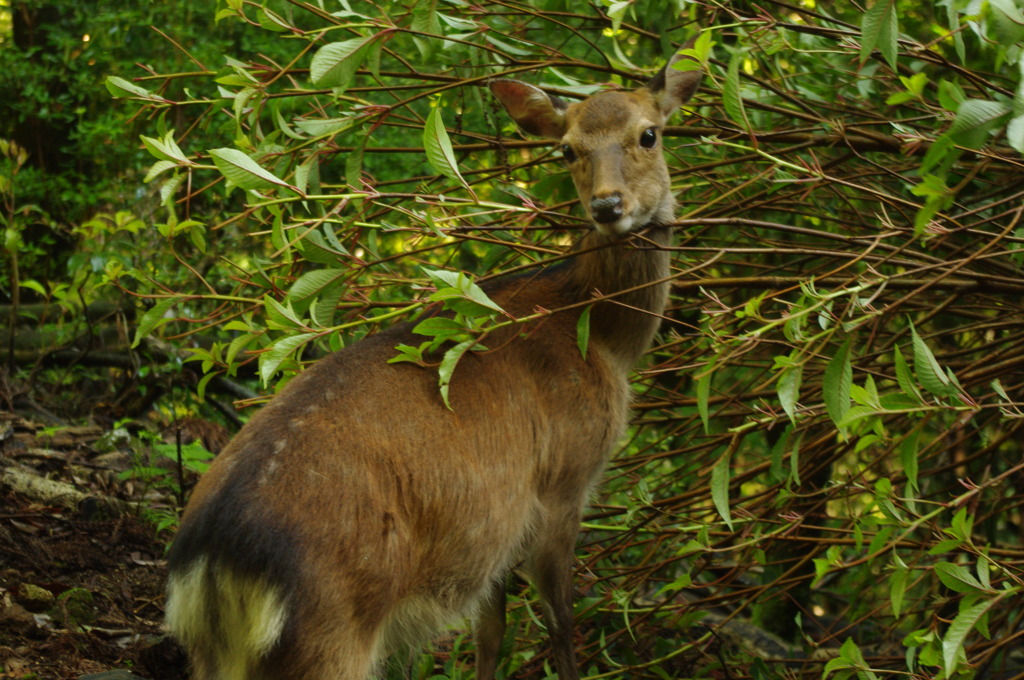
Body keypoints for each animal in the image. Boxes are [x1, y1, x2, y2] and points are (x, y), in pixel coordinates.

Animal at [163, 45, 700, 675]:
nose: (609, 205)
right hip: (332, 634)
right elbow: (561, 625)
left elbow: (491, 631)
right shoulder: (565, 480)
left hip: (220, 655)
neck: (603, 338)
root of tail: (215, 566)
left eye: (649, 134)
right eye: (569, 149)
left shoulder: (500, 523)